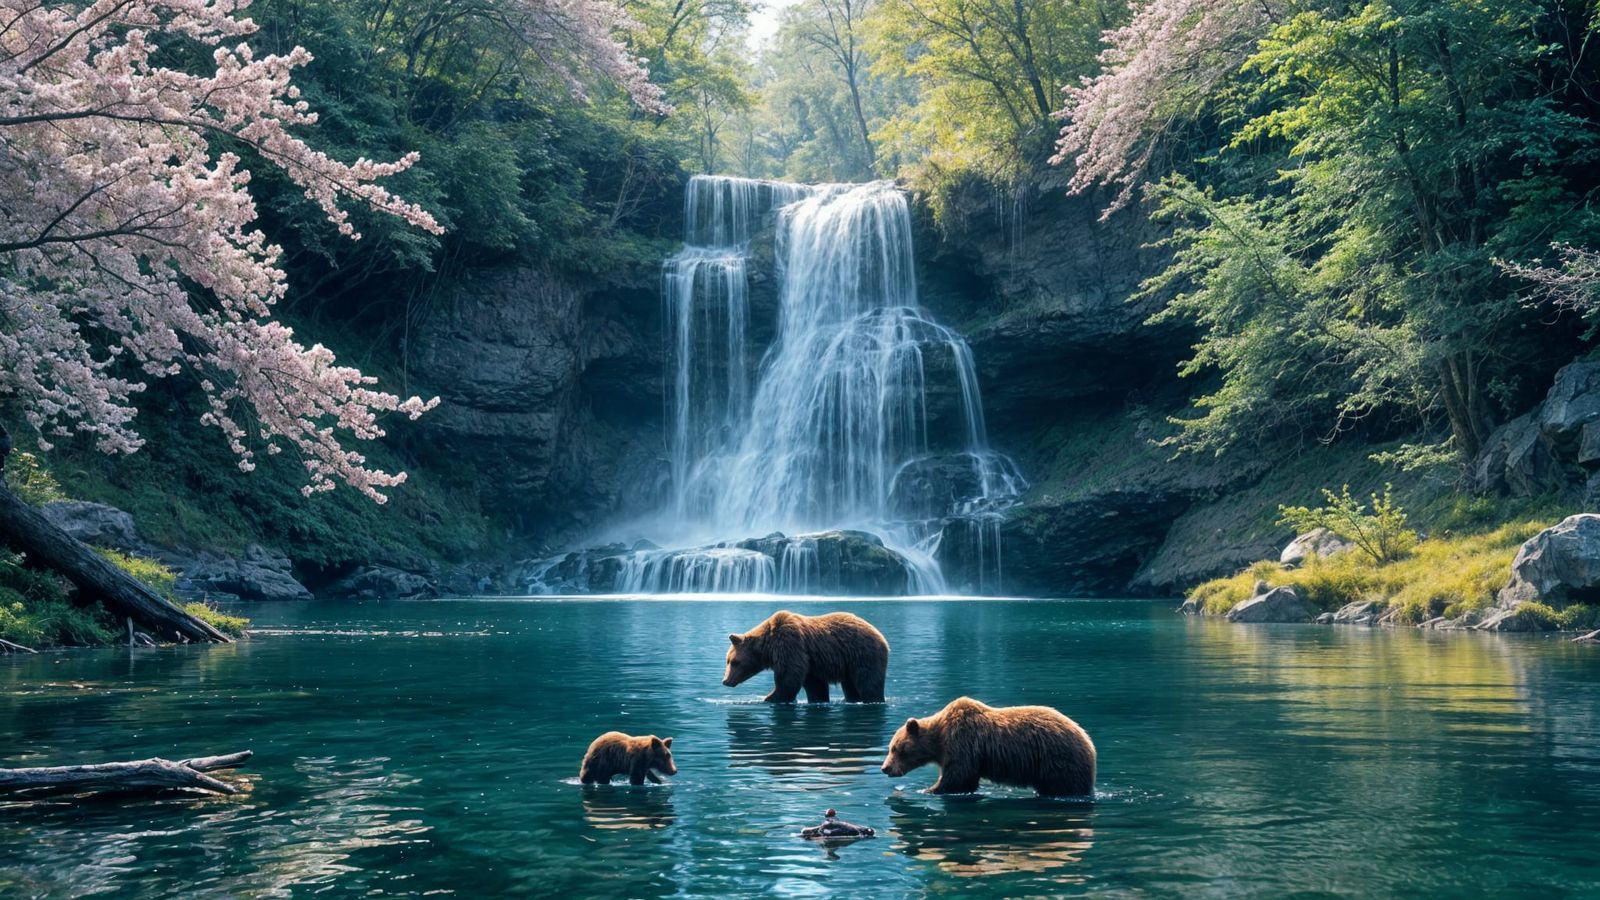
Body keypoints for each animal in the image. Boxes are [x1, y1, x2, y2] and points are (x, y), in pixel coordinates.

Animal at [722, 610, 889, 703]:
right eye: (728, 661)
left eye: (734, 662)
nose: (725, 681)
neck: (768, 647)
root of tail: (881, 636)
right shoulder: (811, 662)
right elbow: (815, 686)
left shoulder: (790, 645)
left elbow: (788, 678)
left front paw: (770, 698)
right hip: (850, 663)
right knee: (851, 687)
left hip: (863, 654)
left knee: (869, 683)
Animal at [880, 697, 1095, 797]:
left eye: (896, 748)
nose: (885, 768)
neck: (939, 741)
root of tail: (1088, 741)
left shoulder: (962, 744)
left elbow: (958, 778)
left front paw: (928, 789)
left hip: (1058, 761)